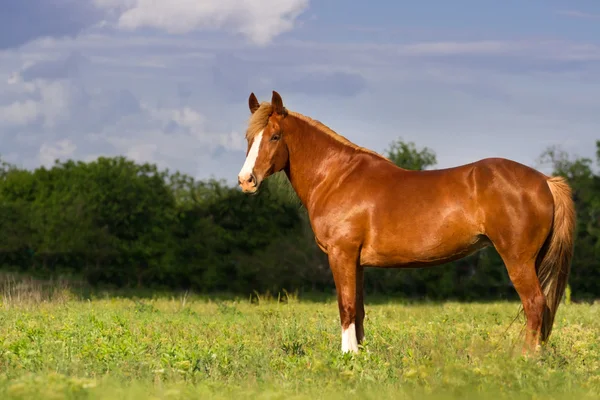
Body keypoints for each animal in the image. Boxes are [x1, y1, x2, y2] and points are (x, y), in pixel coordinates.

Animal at [236, 90, 576, 354]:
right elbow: (358, 309)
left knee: (535, 305)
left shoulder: (341, 255)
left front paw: (346, 357)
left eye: (275, 136)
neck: (337, 177)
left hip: (518, 259)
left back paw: (527, 359)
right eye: (249, 138)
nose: (245, 181)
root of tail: (545, 181)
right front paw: (360, 355)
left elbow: (345, 306)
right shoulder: (356, 262)